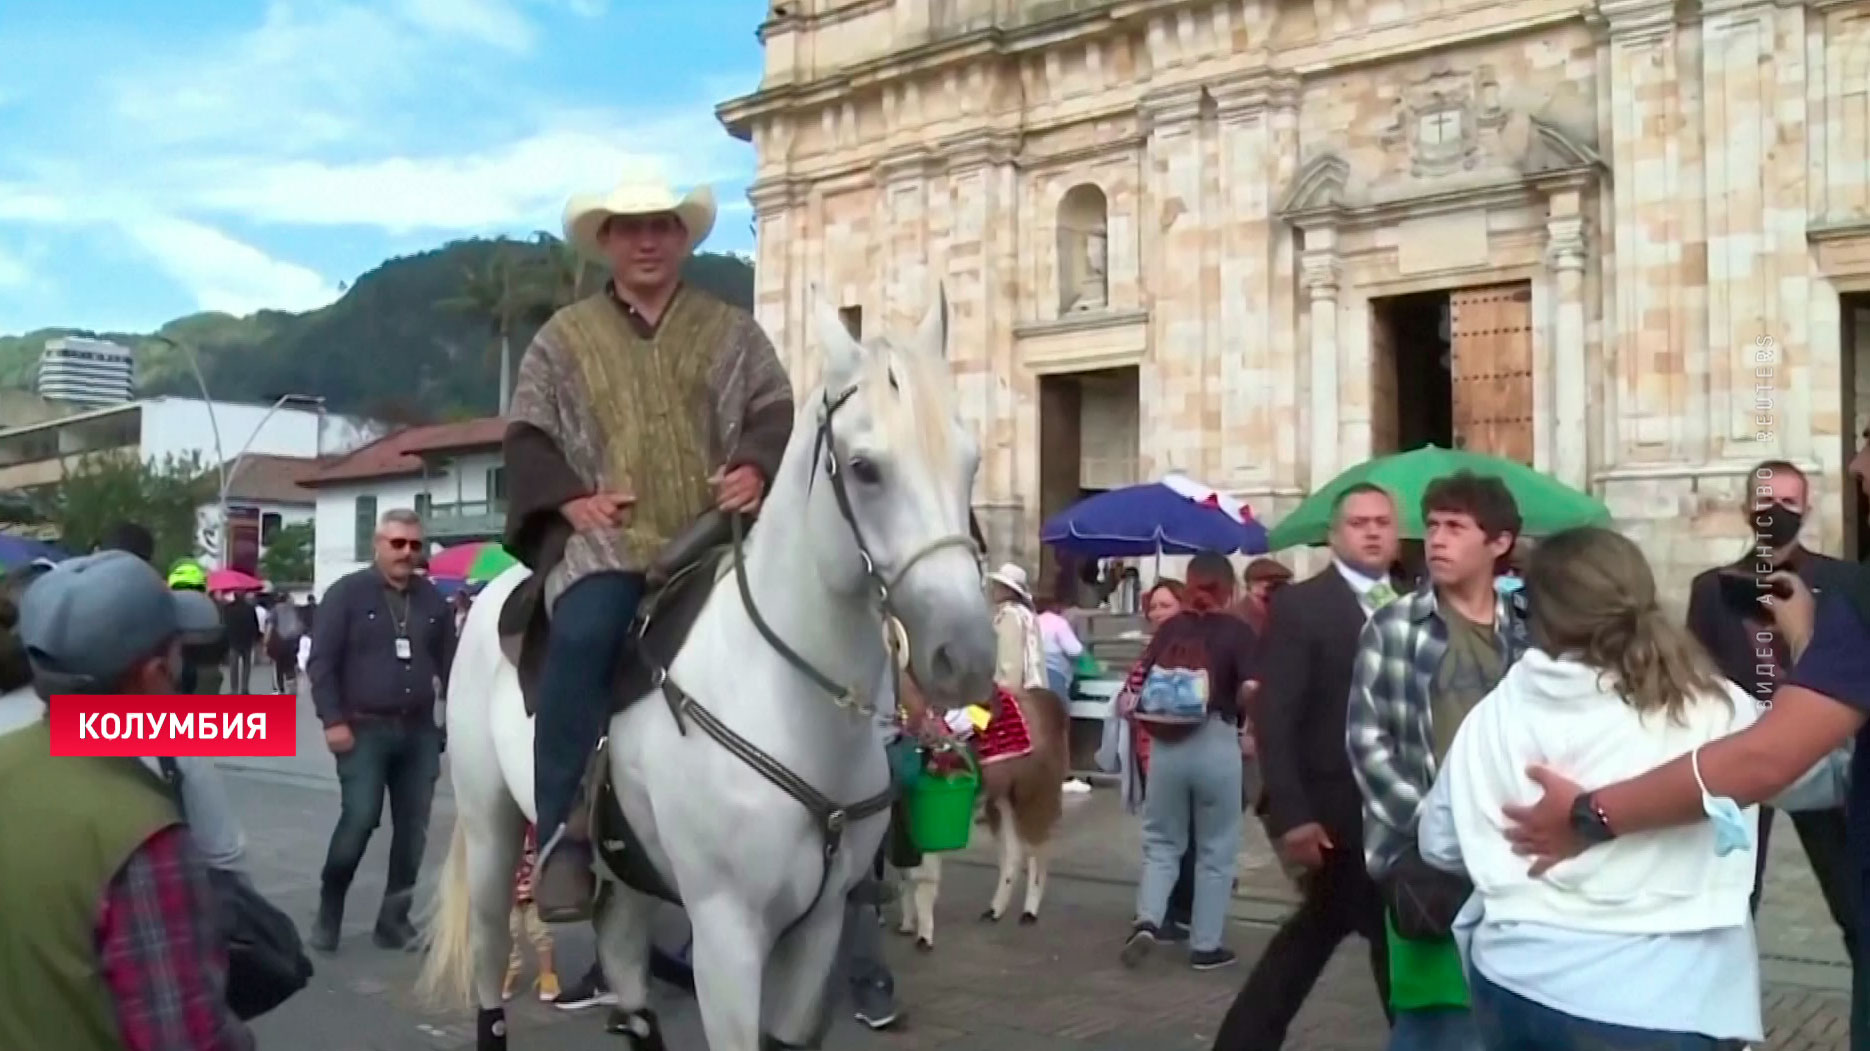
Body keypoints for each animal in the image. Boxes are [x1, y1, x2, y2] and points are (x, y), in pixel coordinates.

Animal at [417, 287, 1002, 1047]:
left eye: (971, 462)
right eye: (866, 468)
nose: (966, 655)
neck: (786, 698)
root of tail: (496, 595)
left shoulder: (817, 930)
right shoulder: (728, 935)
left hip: (627, 883)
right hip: (491, 834)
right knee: (490, 963)